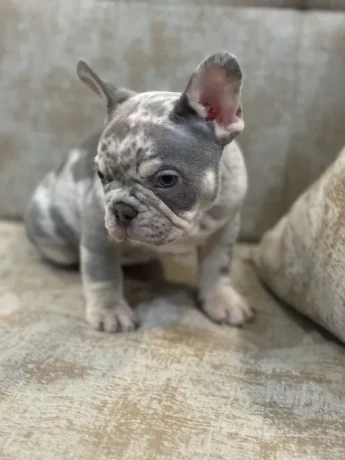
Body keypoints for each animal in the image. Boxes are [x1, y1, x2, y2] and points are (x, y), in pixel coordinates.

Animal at [24, 52, 251, 332]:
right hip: (56, 244)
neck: (195, 217)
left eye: (166, 180)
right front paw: (109, 310)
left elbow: (217, 268)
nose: (122, 209)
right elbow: (103, 274)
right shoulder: (98, 233)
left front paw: (222, 300)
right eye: (101, 176)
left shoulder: (225, 229)